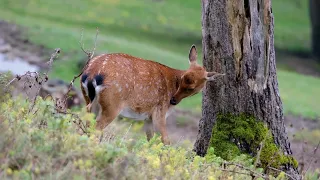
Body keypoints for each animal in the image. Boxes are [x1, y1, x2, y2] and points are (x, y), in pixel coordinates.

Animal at [80, 45, 225, 145]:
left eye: (191, 88)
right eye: (182, 79)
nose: (173, 100)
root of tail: (91, 73)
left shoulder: (148, 117)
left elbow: (150, 139)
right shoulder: (159, 111)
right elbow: (165, 140)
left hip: (89, 101)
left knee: (88, 124)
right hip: (112, 104)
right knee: (96, 127)